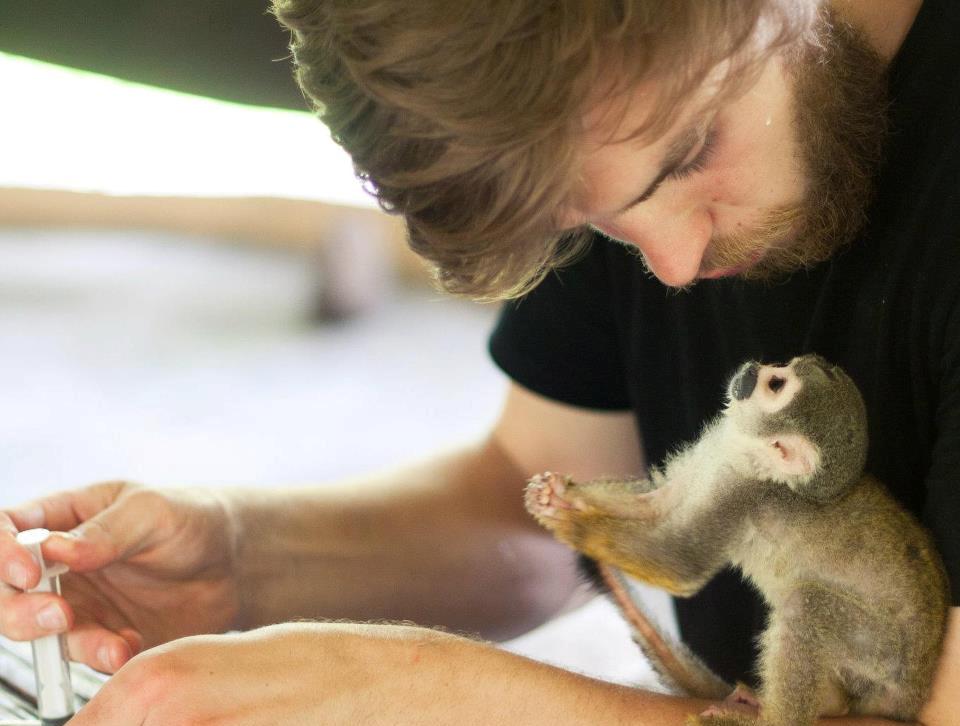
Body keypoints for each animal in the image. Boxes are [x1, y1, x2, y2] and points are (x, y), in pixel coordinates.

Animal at [524, 356, 952, 726]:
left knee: (805, 606)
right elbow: (657, 505)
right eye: (781, 367)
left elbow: (680, 563)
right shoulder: (716, 452)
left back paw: (776, 720)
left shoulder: (743, 495)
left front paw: (571, 525)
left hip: (884, 655)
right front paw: (566, 497)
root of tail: (915, 690)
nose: (753, 368)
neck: (749, 455)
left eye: (775, 384)